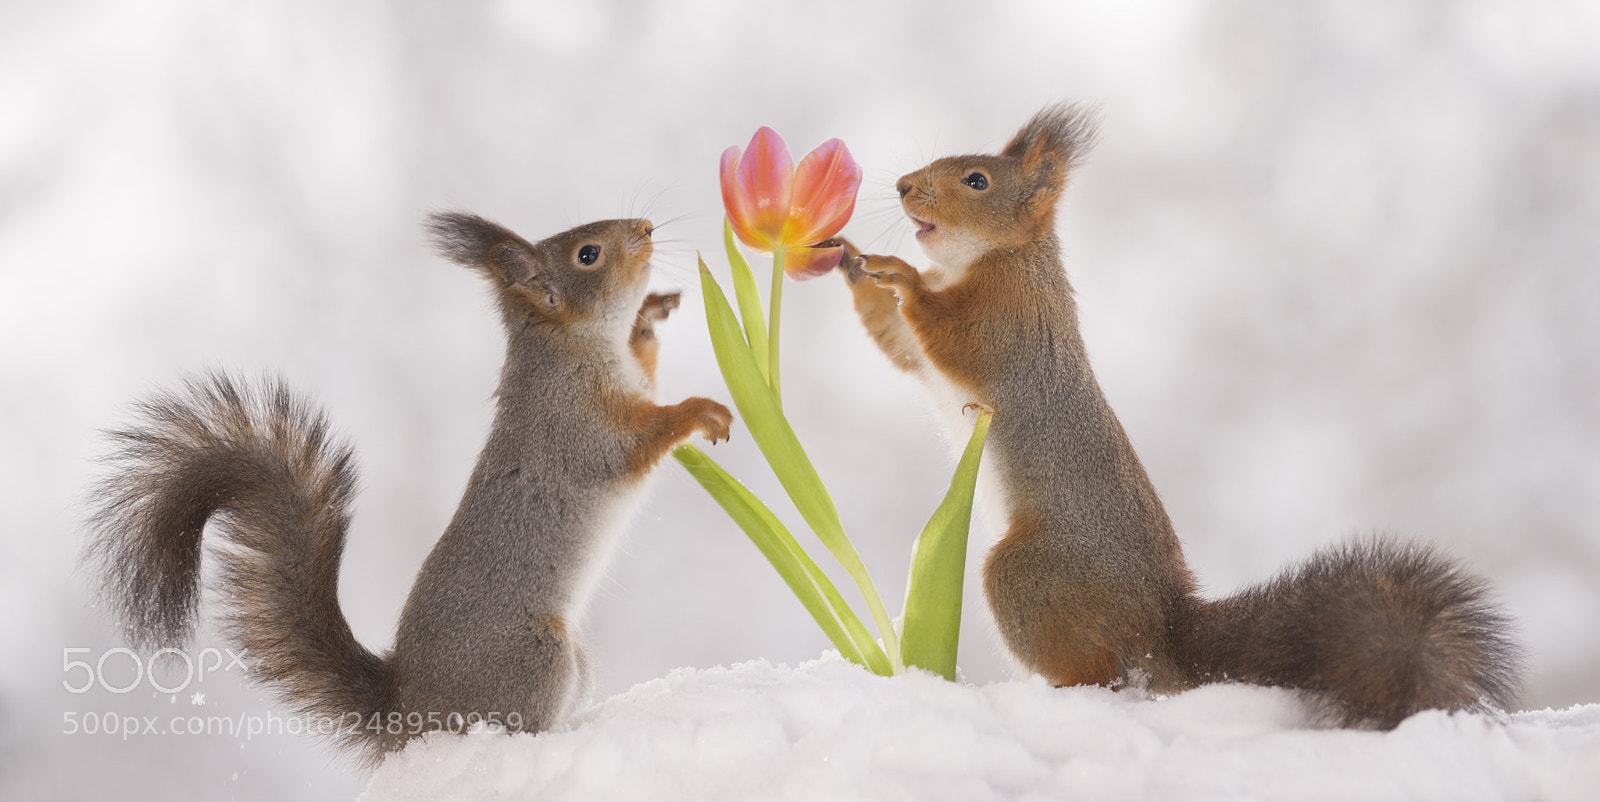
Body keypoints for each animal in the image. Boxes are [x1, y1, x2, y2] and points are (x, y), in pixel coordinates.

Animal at [85, 213, 733, 764]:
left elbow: (646, 370)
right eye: (589, 254)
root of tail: (407, 712)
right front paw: (702, 411)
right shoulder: (578, 428)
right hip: (537, 659)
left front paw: (650, 316)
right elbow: (640, 439)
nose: (646, 228)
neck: (572, 345)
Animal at [838, 104, 1521, 727]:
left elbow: (953, 337)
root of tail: (1157, 626)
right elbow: (898, 341)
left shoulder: (1010, 322)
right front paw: (851, 260)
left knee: (1099, 675)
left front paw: (900, 274)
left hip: (1031, 574)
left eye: (976, 180)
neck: (994, 259)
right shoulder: (927, 349)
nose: (903, 186)